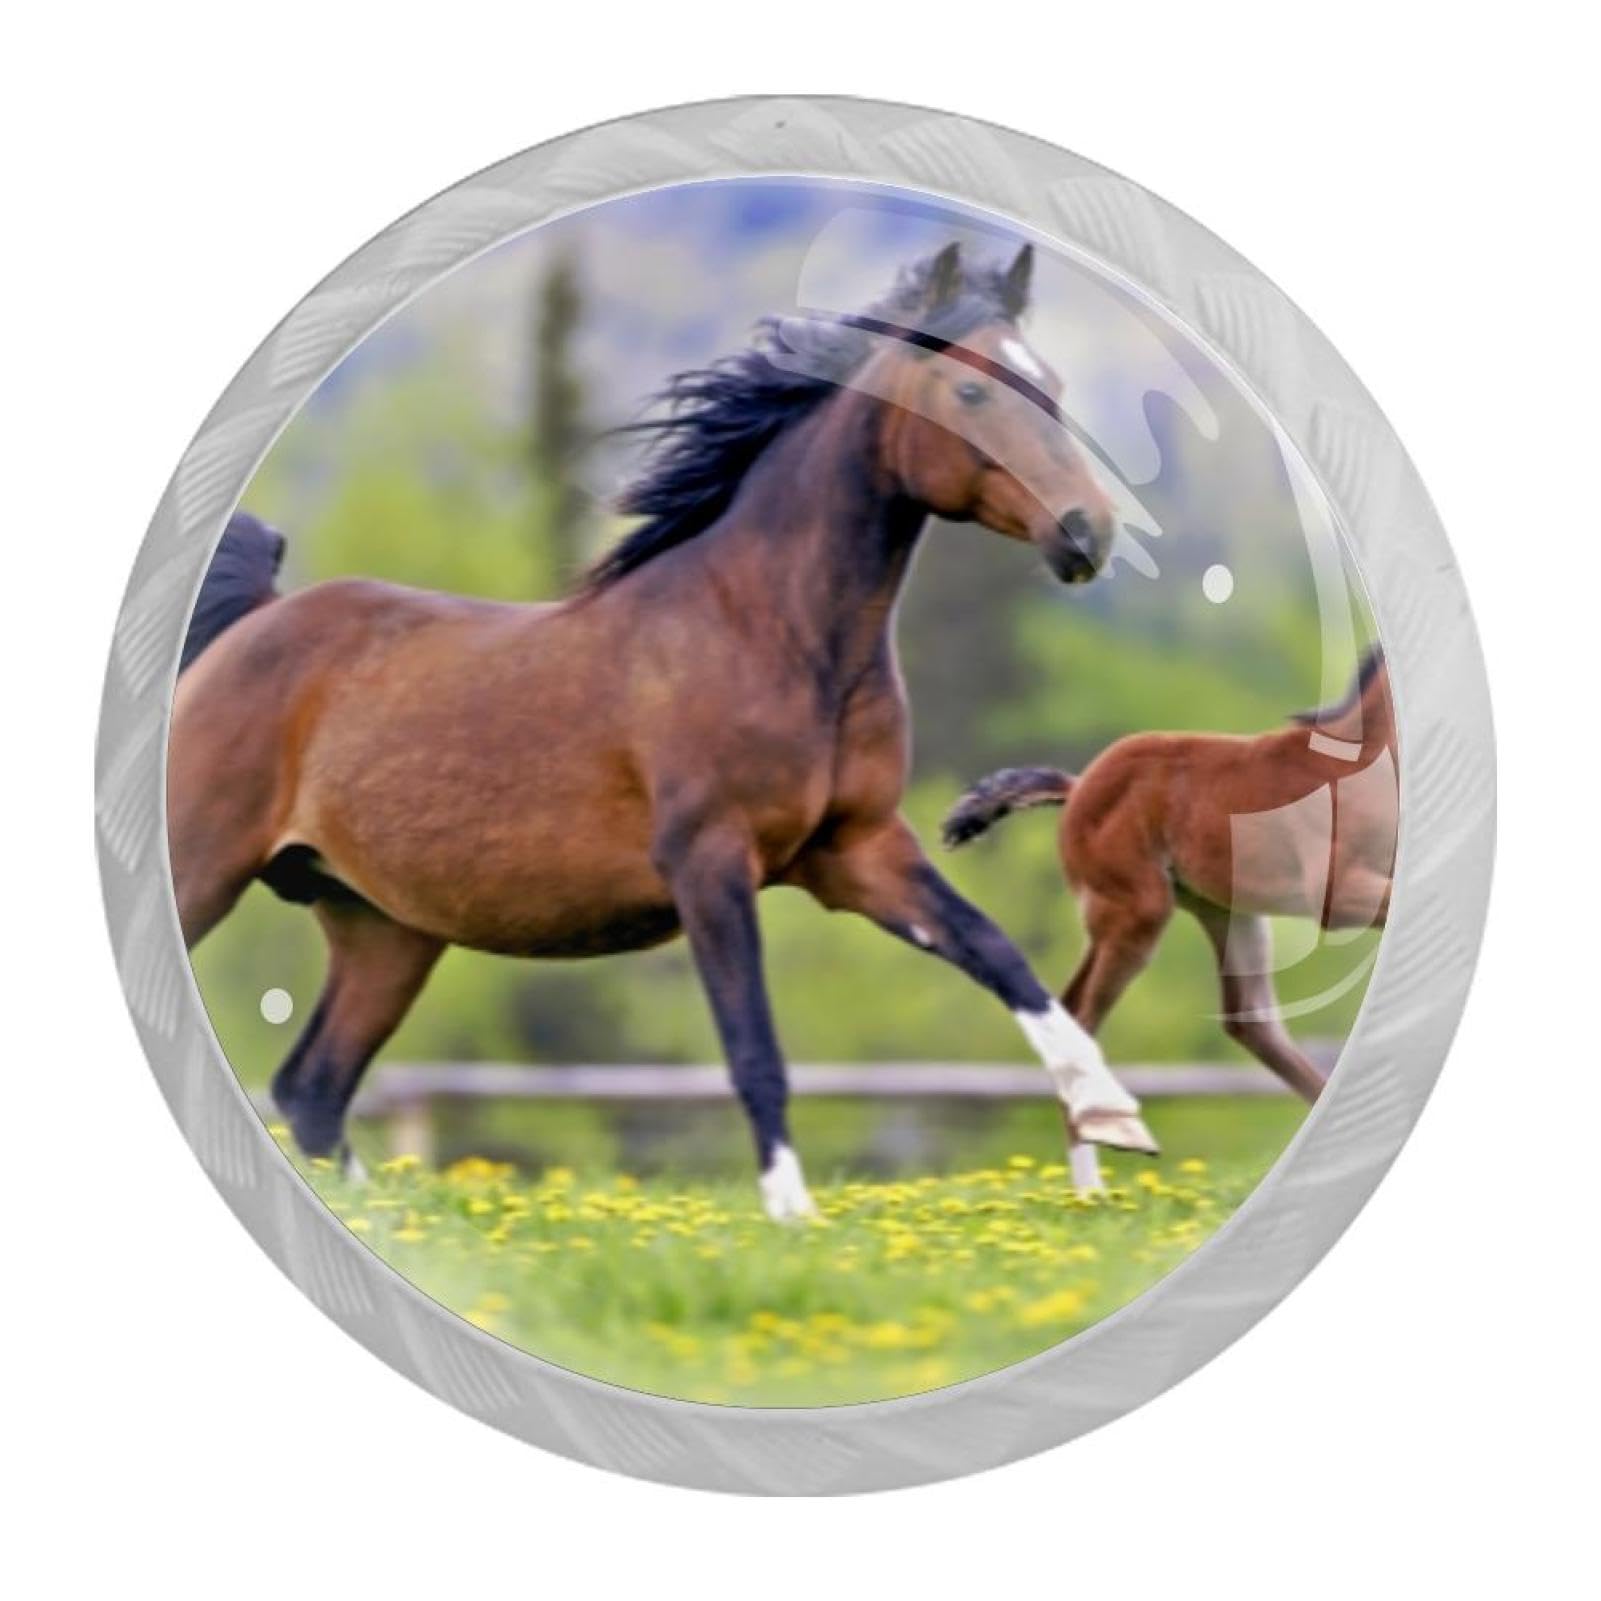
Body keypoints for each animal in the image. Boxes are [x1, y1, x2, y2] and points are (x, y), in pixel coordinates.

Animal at [169, 241, 1157, 1221]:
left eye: (1051, 384)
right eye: (970, 392)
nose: (1087, 533)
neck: (773, 635)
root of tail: (254, 622)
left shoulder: (856, 849)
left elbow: (998, 953)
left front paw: (1111, 1115)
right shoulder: (709, 861)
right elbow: (754, 1047)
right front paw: (791, 1218)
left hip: (382, 925)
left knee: (313, 1087)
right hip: (208, 870)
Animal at [942, 647, 1396, 1101]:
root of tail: (1078, 786)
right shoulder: (1336, 893)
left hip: (1223, 911)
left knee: (1249, 1020)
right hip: (1138, 912)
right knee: (1083, 1016)